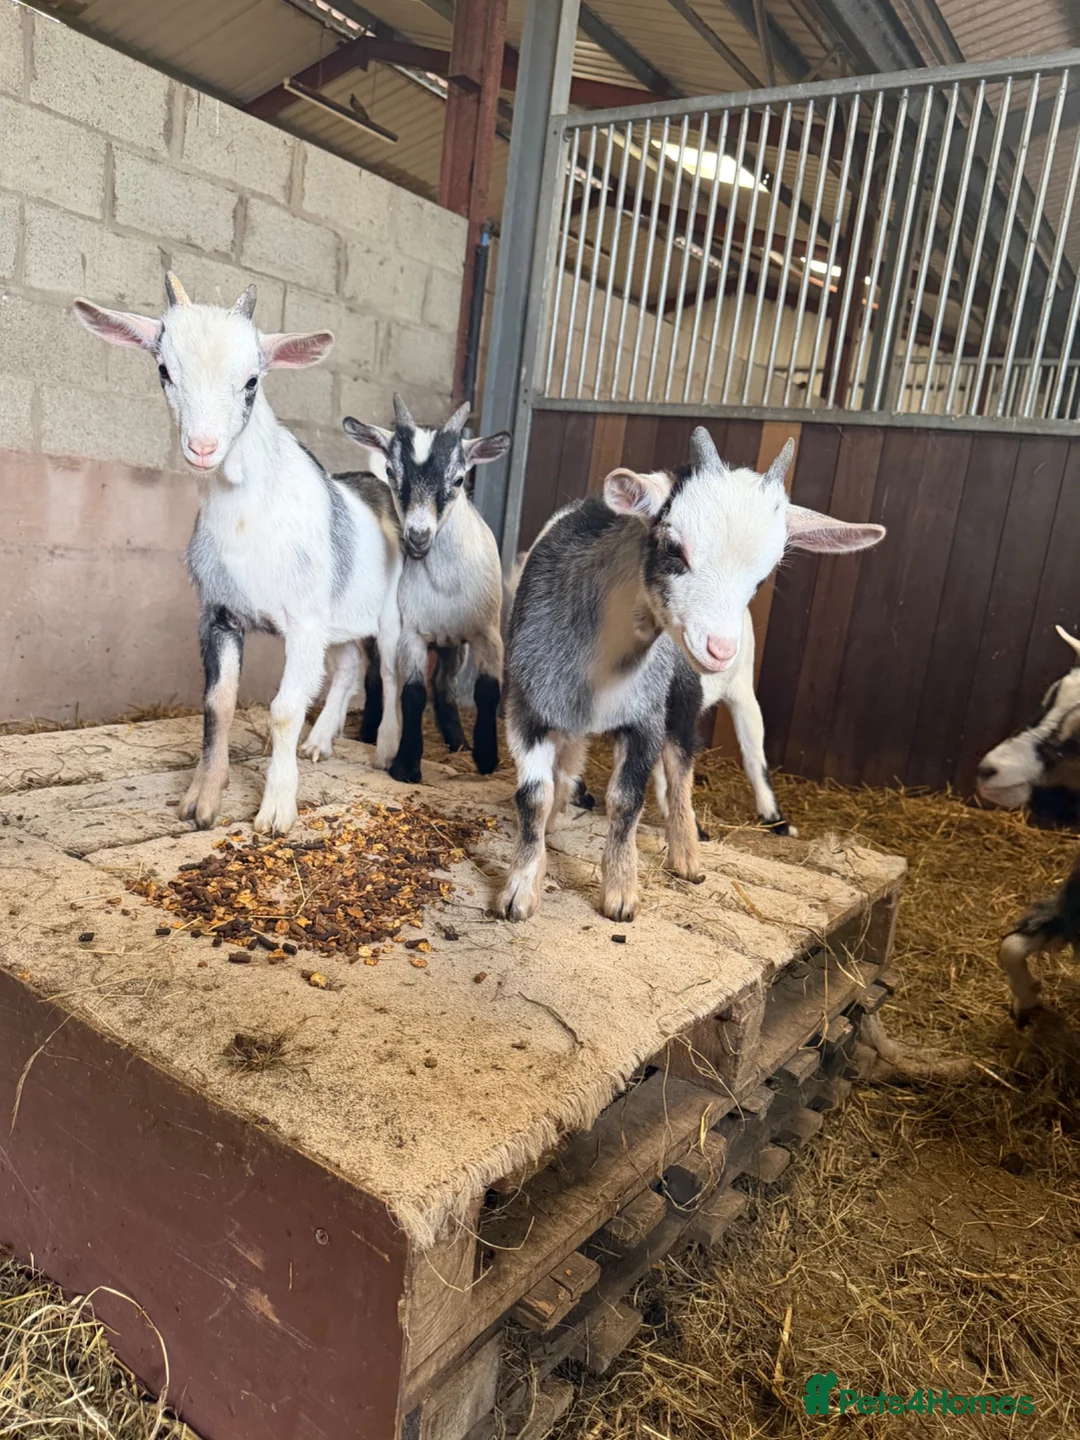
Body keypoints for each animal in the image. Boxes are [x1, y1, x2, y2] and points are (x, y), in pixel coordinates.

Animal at [74, 272, 403, 836]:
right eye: (164, 369)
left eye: (252, 380)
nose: (203, 447)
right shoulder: (220, 613)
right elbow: (217, 703)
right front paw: (202, 802)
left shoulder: (303, 620)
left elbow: (285, 709)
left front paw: (275, 811)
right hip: (338, 620)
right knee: (348, 667)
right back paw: (319, 744)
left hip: (390, 615)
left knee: (389, 673)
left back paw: (385, 752)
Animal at [341, 395, 511, 784]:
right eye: (391, 472)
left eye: (459, 479)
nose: (418, 537)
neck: (446, 585)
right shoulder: (412, 633)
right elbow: (413, 693)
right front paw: (405, 765)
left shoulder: (487, 633)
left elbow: (486, 690)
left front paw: (486, 757)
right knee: (376, 677)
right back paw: (370, 731)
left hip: (454, 644)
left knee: (445, 684)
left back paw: (457, 740)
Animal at [497, 427, 885, 923]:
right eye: (672, 546)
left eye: (764, 576)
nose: (720, 648)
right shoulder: (526, 707)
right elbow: (534, 796)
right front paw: (521, 888)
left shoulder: (645, 716)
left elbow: (627, 801)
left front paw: (621, 893)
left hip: (711, 693)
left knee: (702, 761)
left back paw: (702, 846)